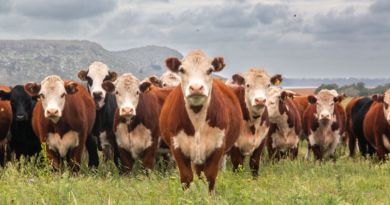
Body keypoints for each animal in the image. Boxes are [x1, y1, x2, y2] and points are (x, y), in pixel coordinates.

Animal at [160, 49, 242, 192]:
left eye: (210, 69)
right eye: (182, 69)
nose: (196, 87)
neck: (197, 118)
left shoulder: (218, 146)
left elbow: (210, 177)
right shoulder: (177, 146)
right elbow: (186, 178)